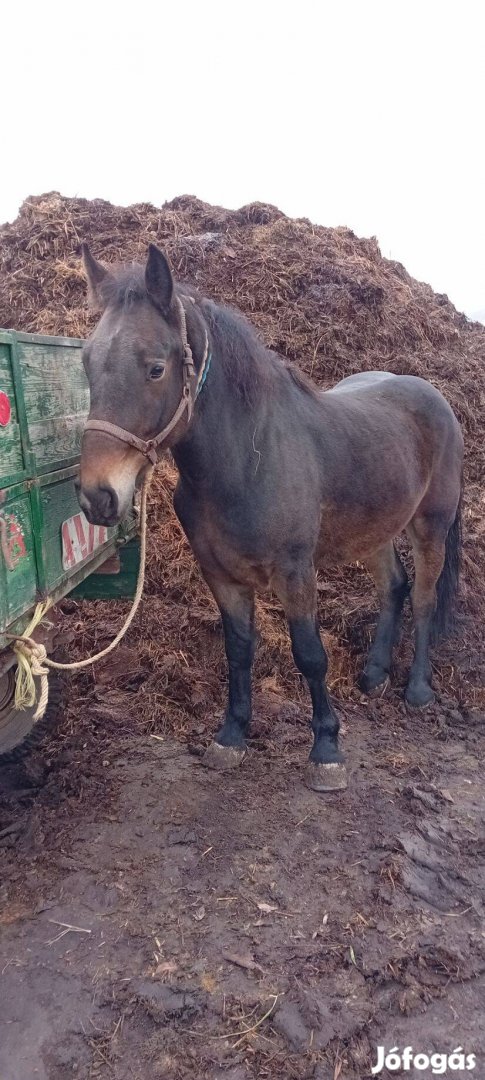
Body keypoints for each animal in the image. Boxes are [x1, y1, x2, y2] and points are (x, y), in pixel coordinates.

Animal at [77, 245, 462, 790]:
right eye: (87, 362)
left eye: (155, 368)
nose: (97, 497)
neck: (247, 461)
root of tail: (433, 397)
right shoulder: (221, 577)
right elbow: (238, 651)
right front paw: (231, 737)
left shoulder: (295, 572)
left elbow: (310, 654)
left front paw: (326, 750)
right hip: (374, 531)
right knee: (395, 586)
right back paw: (373, 677)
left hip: (431, 526)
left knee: (425, 598)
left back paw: (418, 691)